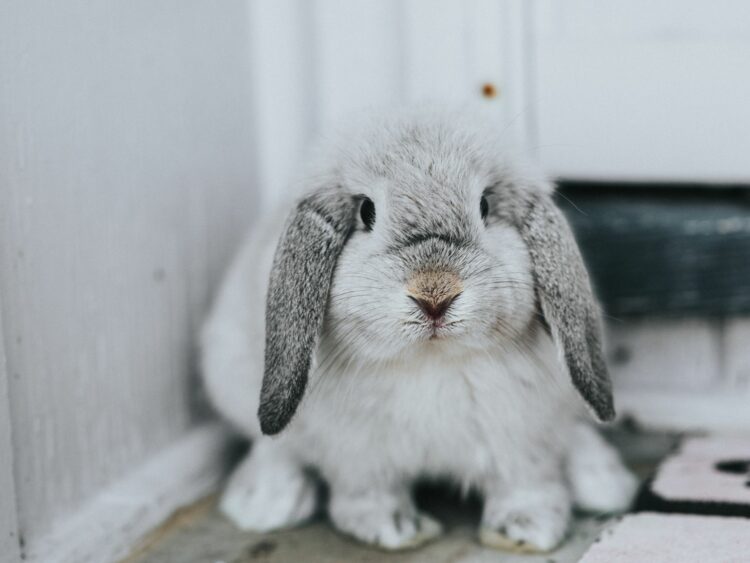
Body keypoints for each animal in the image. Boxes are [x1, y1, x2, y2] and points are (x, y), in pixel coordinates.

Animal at [201, 108, 638, 552]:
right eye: (367, 212)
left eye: (484, 205)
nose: (434, 294)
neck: (431, 357)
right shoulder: (357, 454)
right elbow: (367, 494)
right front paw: (395, 529)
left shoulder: (523, 438)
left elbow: (525, 483)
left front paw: (525, 530)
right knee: (272, 446)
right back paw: (267, 504)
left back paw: (603, 482)